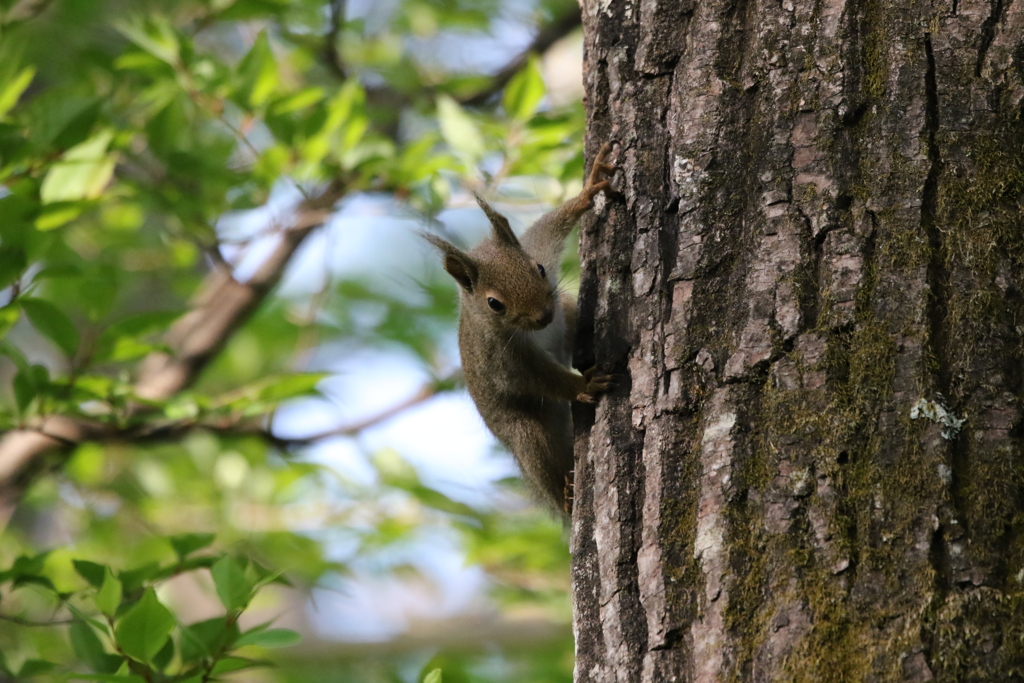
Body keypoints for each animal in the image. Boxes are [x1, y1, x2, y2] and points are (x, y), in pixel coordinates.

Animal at [421, 144, 614, 516]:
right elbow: (540, 378)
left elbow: (550, 224)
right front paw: (584, 384)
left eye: (538, 269)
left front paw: (587, 191)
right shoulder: (503, 358)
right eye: (494, 303)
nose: (543, 316)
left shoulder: (537, 246)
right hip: (526, 435)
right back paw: (566, 493)